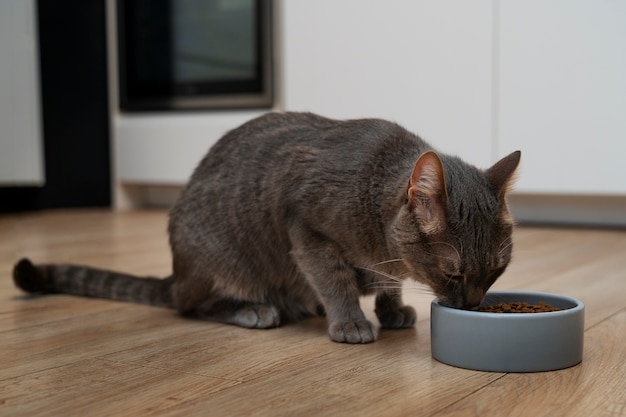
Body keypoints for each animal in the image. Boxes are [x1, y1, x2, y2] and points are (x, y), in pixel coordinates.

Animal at [12, 110, 520, 342]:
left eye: (495, 272)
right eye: (453, 274)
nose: (474, 305)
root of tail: (176, 273)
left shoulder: (384, 263)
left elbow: (388, 283)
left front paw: (391, 309)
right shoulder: (308, 231)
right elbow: (336, 281)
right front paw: (351, 321)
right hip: (219, 261)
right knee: (191, 305)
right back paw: (254, 309)